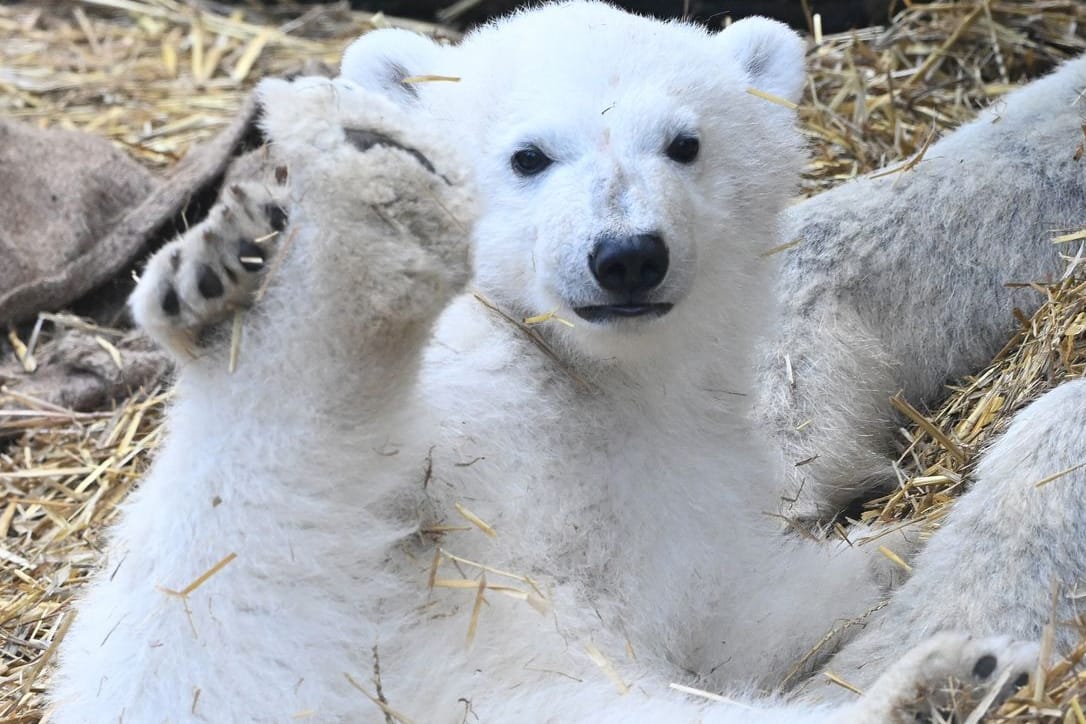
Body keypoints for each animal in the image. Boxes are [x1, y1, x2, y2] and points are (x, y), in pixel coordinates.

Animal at [51, 2, 1068, 720]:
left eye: (686, 143)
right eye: (529, 156)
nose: (627, 255)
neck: (575, 374)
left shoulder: (681, 491)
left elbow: (733, 617)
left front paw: (902, 546)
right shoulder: (468, 414)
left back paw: (943, 682)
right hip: (225, 638)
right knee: (260, 508)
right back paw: (270, 270)